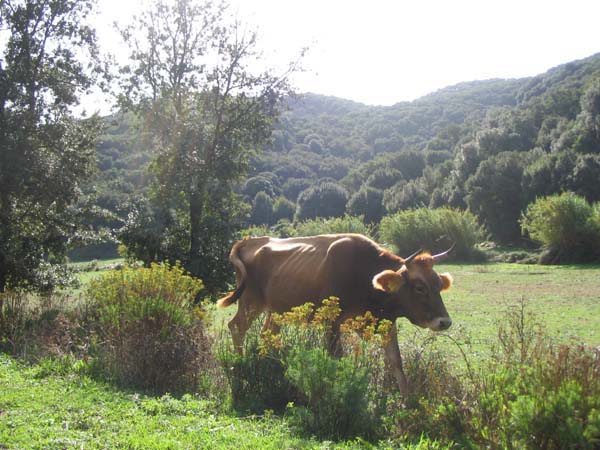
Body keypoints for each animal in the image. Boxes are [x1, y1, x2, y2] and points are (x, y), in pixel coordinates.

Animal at [217, 232, 454, 394]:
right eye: (420, 287)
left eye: (438, 284)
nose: (445, 322)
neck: (365, 274)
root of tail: (250, 240)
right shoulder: (331, 322)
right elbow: (336, 357)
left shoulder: (387, 322)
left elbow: (396, 361)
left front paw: (407, 401)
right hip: (250, 301)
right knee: (237, 327)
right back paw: (241, 366)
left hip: (276, 310)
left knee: (268, 335)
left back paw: (271, 367)